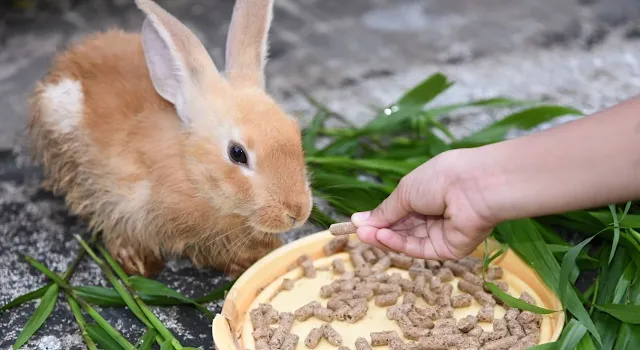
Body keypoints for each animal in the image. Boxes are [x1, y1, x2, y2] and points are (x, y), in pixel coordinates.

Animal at [27, 0, 312, 278]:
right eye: (237, 153)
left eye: (295, 131)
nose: (297, 212)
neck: (190, 170)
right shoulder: (118, 201)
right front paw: (138, 263)